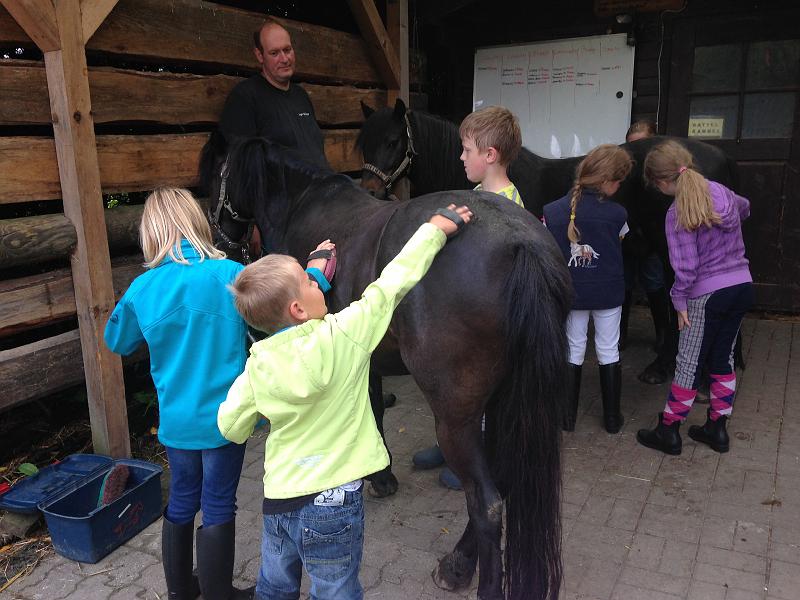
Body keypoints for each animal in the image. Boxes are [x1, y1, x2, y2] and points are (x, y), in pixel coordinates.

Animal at [200, 132, 576, 600]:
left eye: (215, 175)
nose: (222, 242)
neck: (303, 203)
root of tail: (518, 242)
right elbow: (373, 406)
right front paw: (381, 473)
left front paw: (378, 476)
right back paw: (459, 561)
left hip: (457, 418)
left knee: (486, 502)